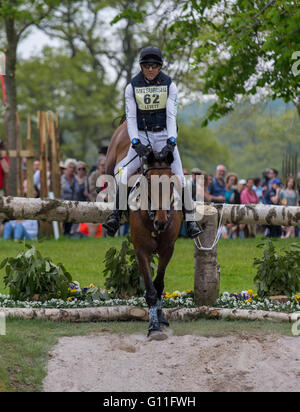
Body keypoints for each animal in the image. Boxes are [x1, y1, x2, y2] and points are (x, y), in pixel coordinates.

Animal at [104, 121, 182, 338]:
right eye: (148, 183)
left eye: (171, 182)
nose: (162, 222)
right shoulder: (142, 251)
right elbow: (150, 291)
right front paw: (154, 326)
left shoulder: (167, 250)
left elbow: (159, 284)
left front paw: (161, 318)